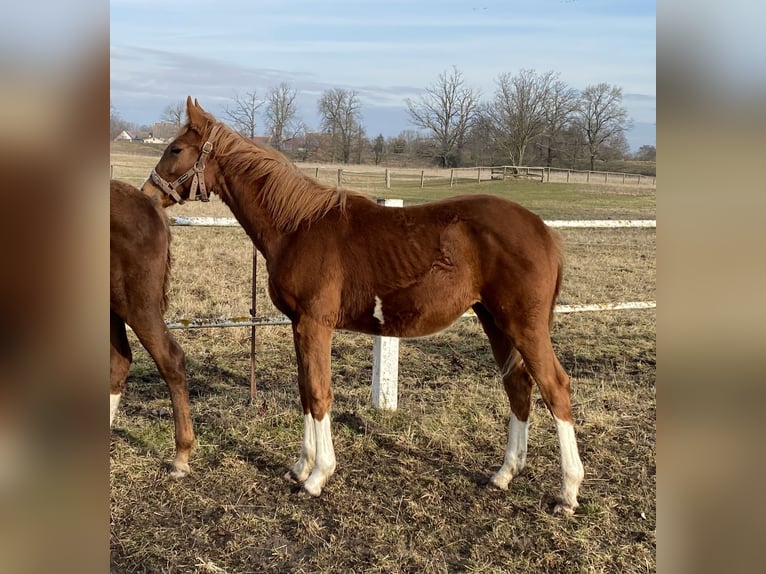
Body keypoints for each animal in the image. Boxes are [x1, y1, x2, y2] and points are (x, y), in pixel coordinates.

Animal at [143, 97, 584, 514]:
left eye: (176, 149)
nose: (147, 195)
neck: (297, 226)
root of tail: (544, 231)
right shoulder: (299, 325)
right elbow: (305, 391)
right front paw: (300, 467)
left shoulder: (315, 324)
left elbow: (319, 393)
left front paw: (318, 476)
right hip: (495, 321)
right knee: (519, 386)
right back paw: (504, 474)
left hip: (523, 325)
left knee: (555, 387)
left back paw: (567, 492)